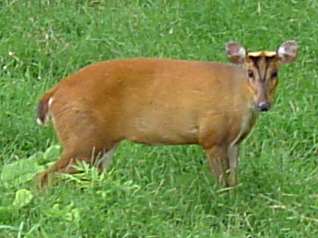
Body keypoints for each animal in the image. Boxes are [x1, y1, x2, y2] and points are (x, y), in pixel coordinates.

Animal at [36, 41, 296, 188]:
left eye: (275, 73)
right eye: (250, 73)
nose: (263, 104)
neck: (238, 99)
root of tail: (53, 94)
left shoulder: (235, 142)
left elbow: (234, 183)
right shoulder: (212, 137)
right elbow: (222, 183)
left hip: (99, 142)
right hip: (82, 136)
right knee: (43, 176)